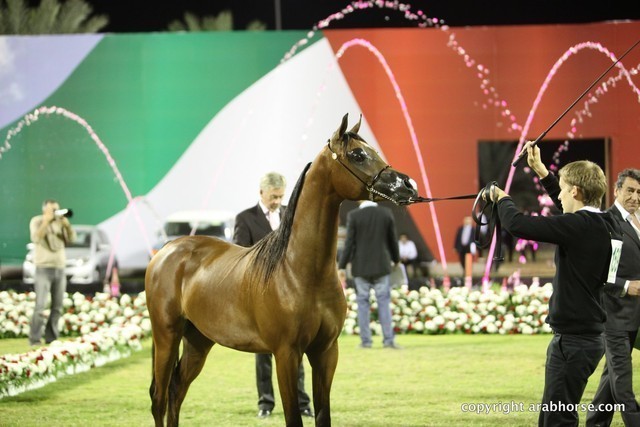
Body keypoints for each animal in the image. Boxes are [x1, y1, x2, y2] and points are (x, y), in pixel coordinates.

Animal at [145, 113, 419, 427]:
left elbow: (322, 413)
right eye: (357, 155)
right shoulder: (286, 354)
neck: (299, 272)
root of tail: (165, 252)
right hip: (166, 335)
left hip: (198, 341)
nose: (408, 185)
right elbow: (293, 417)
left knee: (177, 390)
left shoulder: (326, 352)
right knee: (160, 397)